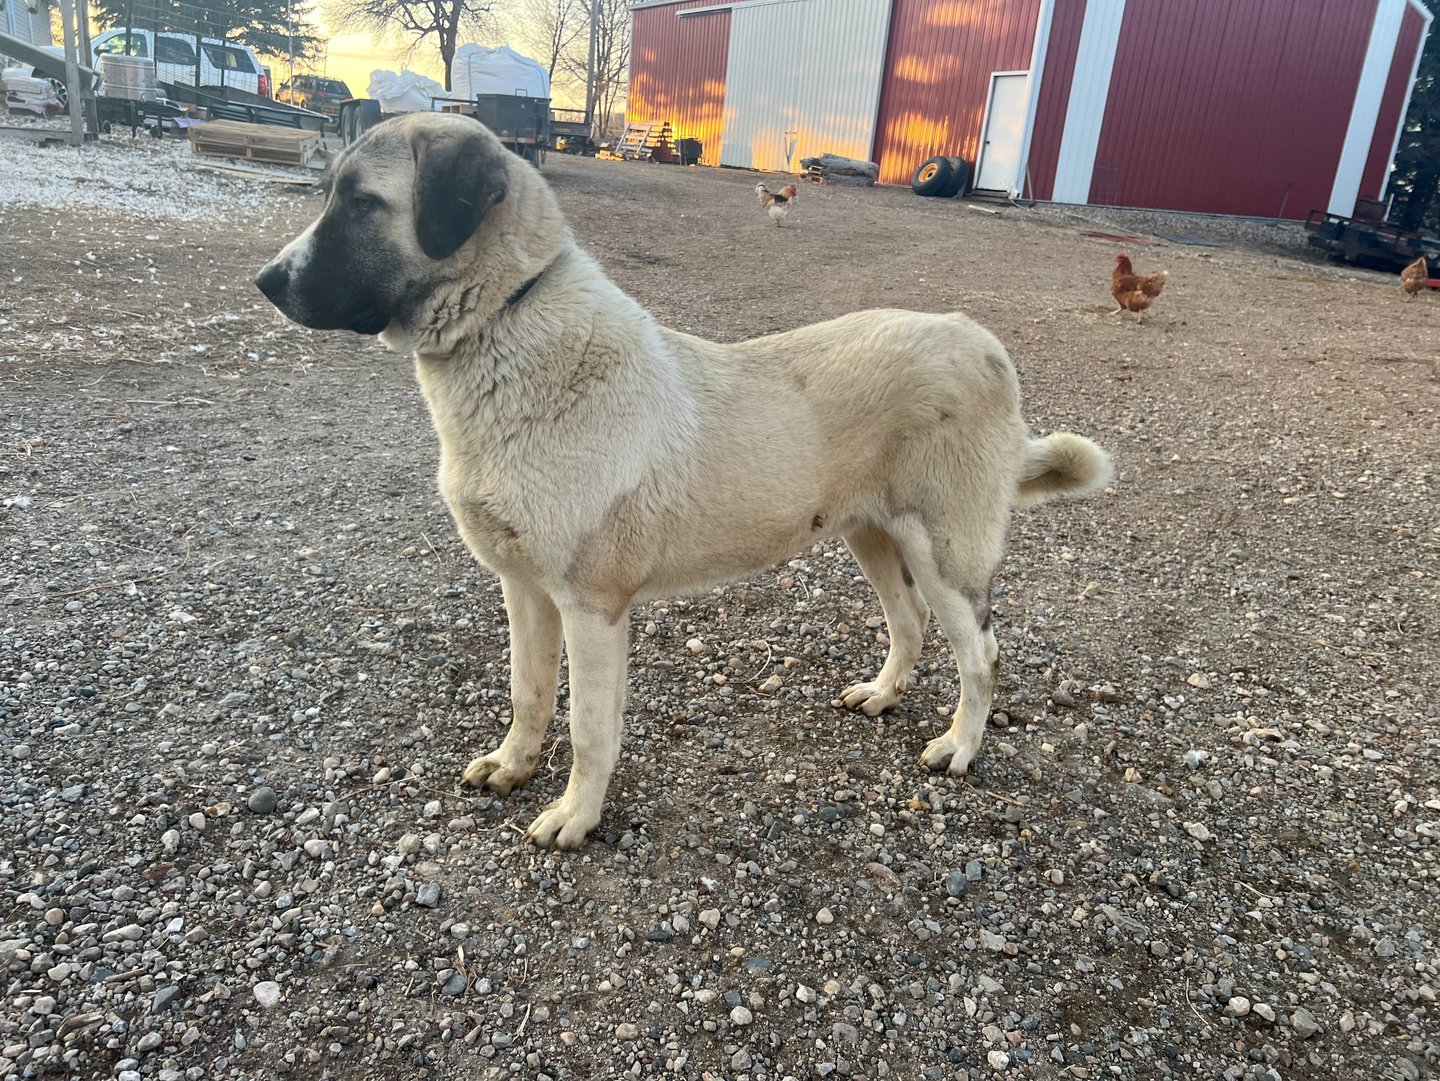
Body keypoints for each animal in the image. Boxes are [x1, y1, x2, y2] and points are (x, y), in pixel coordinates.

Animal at [256, 113, 1112, 850]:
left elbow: (590, 728)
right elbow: (528, 694)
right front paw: (513, 766)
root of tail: (982, 341)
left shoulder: (593, 608)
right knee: (908, 622)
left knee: (982, 654)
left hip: (945, 552)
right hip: (872, 535)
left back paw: (959, 747)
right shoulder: (524, 590)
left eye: (361, 202)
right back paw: (882, 694)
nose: (265, 281)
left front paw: (575, 815)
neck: (505, 323)